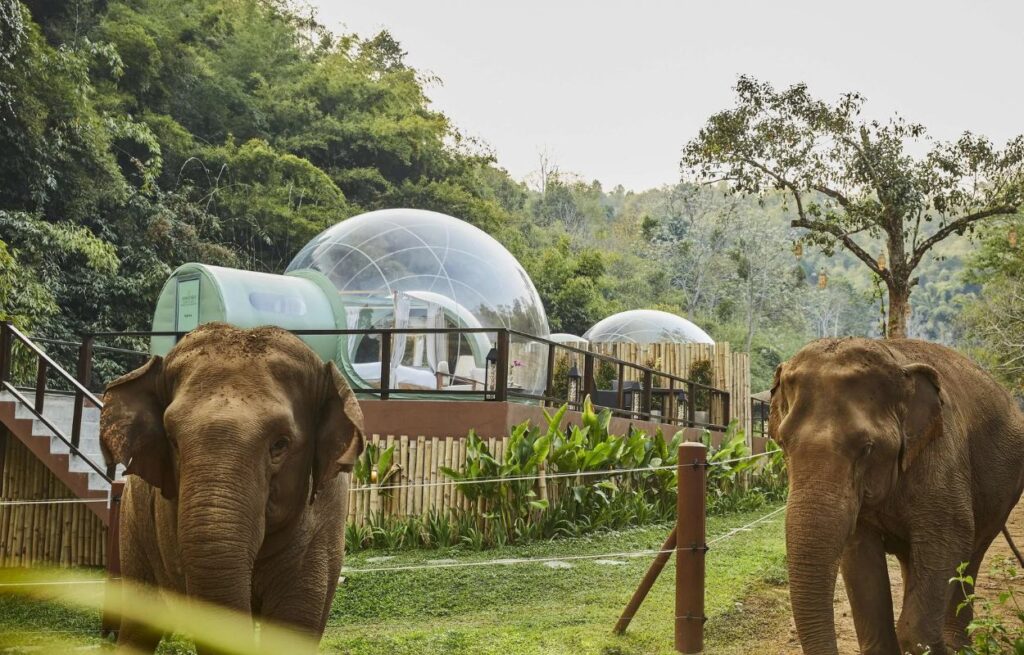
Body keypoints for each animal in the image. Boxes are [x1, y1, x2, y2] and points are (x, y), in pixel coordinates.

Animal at [99, 322, 364, 652]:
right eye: (172, 440)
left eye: (280, 444)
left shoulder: (324, 520)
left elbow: (293, 627)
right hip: (132, 525)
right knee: (140, 623)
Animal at [771, 337, 1024, 655]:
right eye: (782, 443)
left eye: (866, 448)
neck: (894, 358)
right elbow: (859, 554)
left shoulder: (942, 453)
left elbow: (950, 536)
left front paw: (931, 644)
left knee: (973, 552)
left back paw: (956, 645)